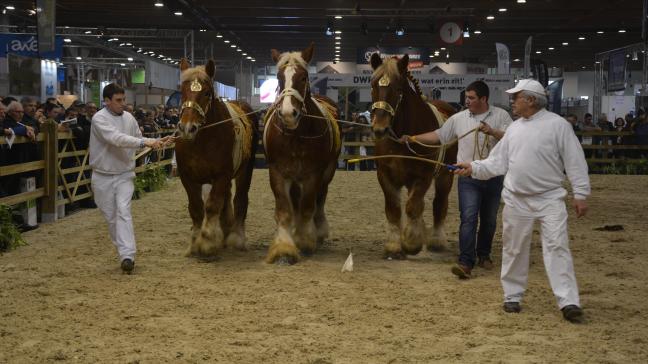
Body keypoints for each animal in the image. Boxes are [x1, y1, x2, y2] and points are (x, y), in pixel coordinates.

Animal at [177, 58, 260, 258]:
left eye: (207, 93)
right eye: (181, 91)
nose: (187, 128)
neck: (201, 140)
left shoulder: (221, 176)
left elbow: (212, 205)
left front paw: (206, 241)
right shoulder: (187, 178)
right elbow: (196, 209)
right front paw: (195, 242)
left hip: (245, 169)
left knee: (240, 199)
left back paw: (237, 237)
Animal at [264, 43, 344, 264]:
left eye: (304, 77)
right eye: (279, 78)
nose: (288, 113)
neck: (296, 135)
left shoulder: (313, 174)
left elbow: (308, 206)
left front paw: (305, 239)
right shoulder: (278, 172)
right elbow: (284, 210)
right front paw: (284, 247)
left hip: (328, 172)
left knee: (320, 199)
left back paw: (319, 231)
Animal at [370, 53, 456, 258]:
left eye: (398, 89)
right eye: (373, 85)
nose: (380, 129)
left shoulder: (423, 177)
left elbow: (413, 206)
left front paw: (411, 242)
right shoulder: (385, 176)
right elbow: (393, 208)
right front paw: (394, 245)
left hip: (445, 176)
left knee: (439, 204)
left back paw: (436, 240)